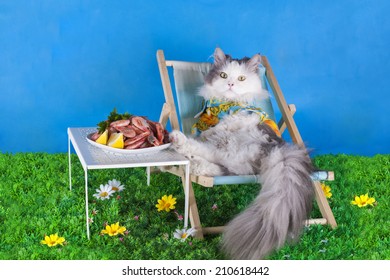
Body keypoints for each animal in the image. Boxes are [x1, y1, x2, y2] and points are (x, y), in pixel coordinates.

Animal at [170, 47, 314, 260]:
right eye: (223, 75)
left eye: (241, 78)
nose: (230, 84)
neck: (225, 104)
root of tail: (277, 148)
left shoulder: (248, 116)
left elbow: (228, 121)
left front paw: (209, 131)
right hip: (229, 155)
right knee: (217, 167)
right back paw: (190, 159)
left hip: (228, 146)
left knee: (208, 155)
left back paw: (179, 142)